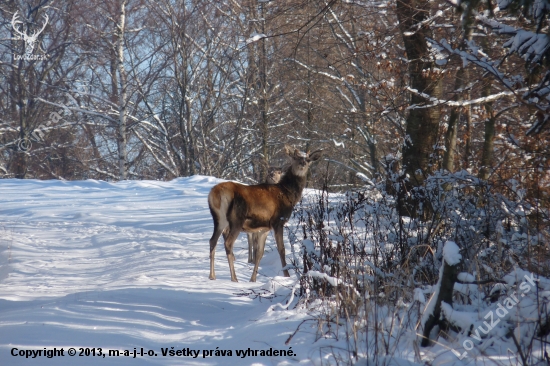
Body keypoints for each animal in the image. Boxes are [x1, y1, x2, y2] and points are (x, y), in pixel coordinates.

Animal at [210, 144, 324, 282]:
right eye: (295, 157)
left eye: (308, 160)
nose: (302, 163)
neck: (288, 194)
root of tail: (217, 193)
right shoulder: (278, 221)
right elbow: (281, 249)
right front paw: (286, 274)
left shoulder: (264, 228)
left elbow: (260, 253)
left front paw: (253, 279)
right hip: (236, 219)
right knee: (228, 243)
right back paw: (234, 278)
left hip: (218, 219)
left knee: (212, 241)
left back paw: (212, 276)